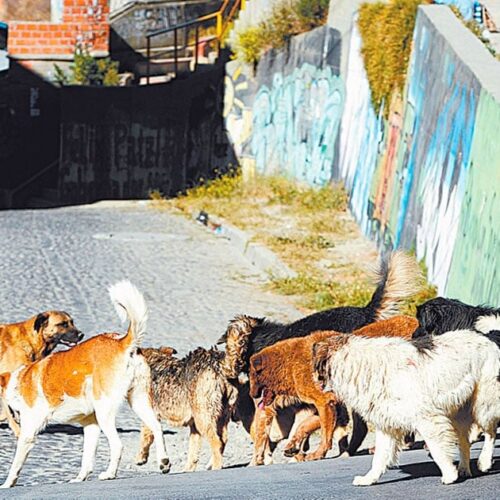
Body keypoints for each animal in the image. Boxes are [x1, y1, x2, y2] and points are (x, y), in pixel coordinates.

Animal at [0, 282, 170, 488]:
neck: (20, 380)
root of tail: (122, 342)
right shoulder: (91, 425)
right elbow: (87, 459)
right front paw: (80, 478)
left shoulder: (28, 434)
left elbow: (15, 466)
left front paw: (6, 484)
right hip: (139, 402)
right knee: (157, 427)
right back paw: (164, 462)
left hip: (105, 412)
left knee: (117, 445)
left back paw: (109, 474)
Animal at [135, 316, 256, 472]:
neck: (155, 362)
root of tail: (220, 363)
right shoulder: (194, 428)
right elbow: (193, 451)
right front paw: (187, 469)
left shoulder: (151, 415)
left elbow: (145, 437)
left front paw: (141, 458)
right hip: (218, 417)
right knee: (223, 440)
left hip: (204, 419)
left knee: (217, 442)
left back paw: (217, 467)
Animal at [249, 316, 418, 464]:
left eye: (251, 377)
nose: (252, 395)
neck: (288, 364)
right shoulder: (331, 405)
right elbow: (306, 425)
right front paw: (293, 447)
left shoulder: (324, 402)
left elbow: (324, 434)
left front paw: (317, 454)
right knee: (364, 428)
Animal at [312, 322, 500, 486]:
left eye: (315, 366)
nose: (313, 380)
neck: (359, 366)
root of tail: (486, 338)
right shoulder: (386, 425)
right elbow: (379, 458)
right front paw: (369, 479)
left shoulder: (428, 419)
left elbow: (437, 450)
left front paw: (449, 474)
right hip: (458, 411)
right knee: (464, 440)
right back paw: (464, 468)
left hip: (483, 404)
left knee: (490, 432)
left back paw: (484, 461)